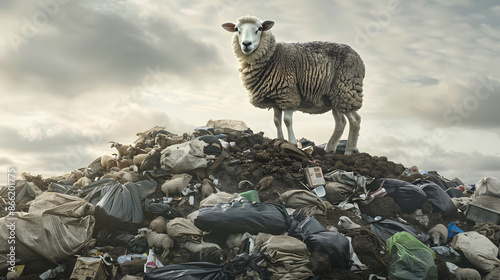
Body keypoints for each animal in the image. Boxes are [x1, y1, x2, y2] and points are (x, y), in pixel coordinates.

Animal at [225, 15, 366, 154]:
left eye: (259, 29)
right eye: (237, 29)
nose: (246, 44)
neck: (273, 56)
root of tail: (359, 58)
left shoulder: (288, 93)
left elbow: (287, 120)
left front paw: (292, 142)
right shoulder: (276, 97)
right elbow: (276, 121)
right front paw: (279, 139)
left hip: (346, 89)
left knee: (355, 120)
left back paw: (349, 150)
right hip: (334, 95)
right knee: (341, 122)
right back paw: (329, 148)